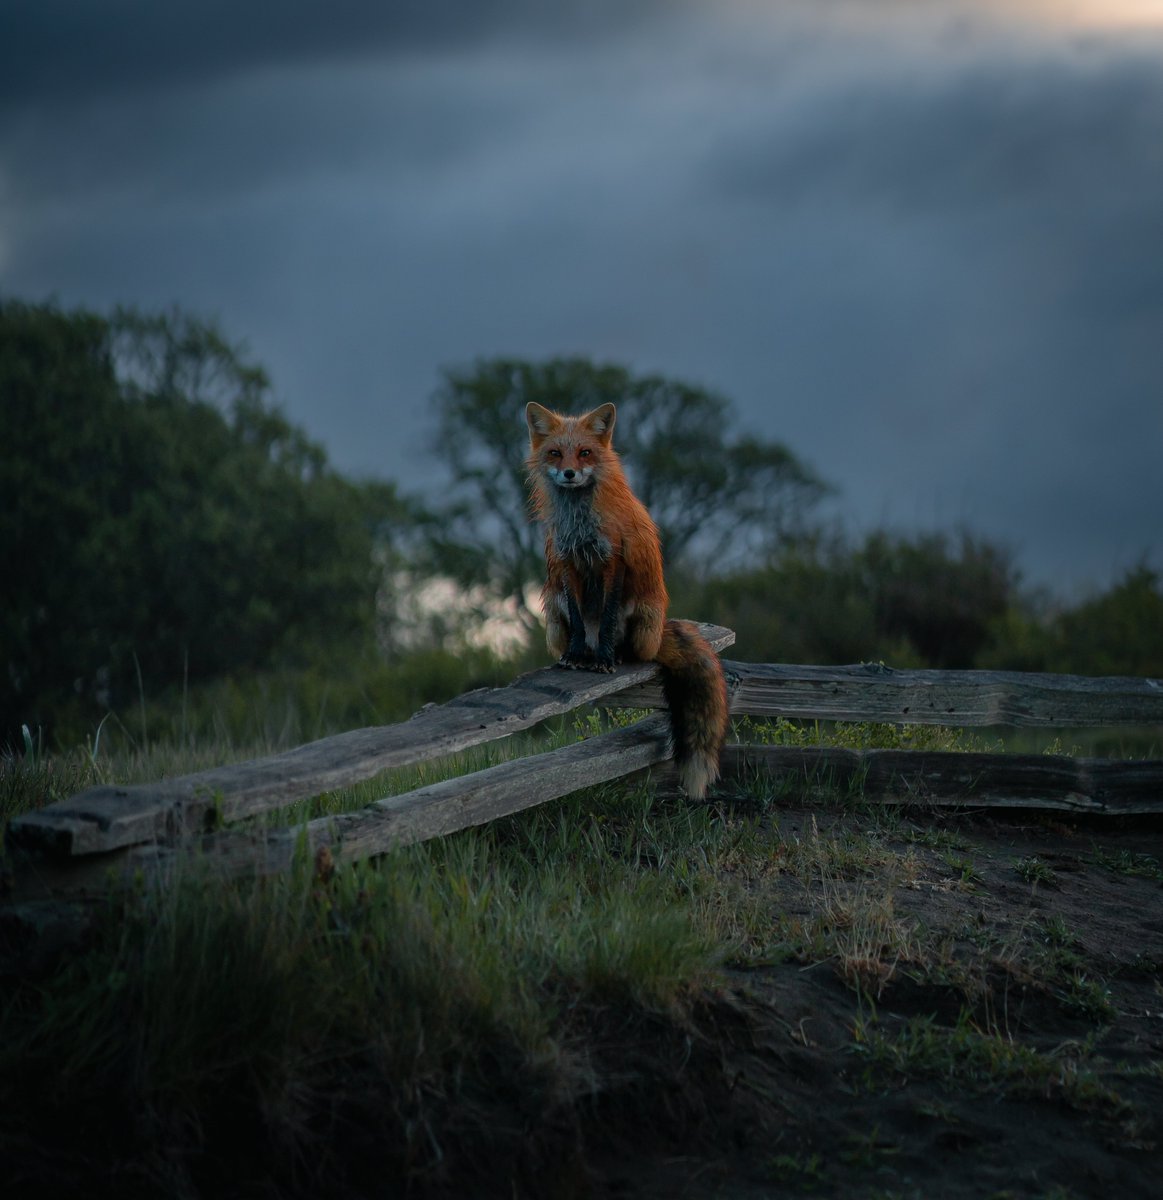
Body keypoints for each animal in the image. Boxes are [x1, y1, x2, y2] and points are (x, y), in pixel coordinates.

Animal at [525, 400, 729, 799]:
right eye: (555, 453)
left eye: (585, 452)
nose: (569, 473)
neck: (580, 521)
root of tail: (661, 632)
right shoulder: (568, 562)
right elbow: (580, 618)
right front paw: (577, 656)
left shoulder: (613, 560)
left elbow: (606, 616)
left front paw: (605, 659)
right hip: (553, 611)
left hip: (642, 615)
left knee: (635, 650)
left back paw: (615, 654)